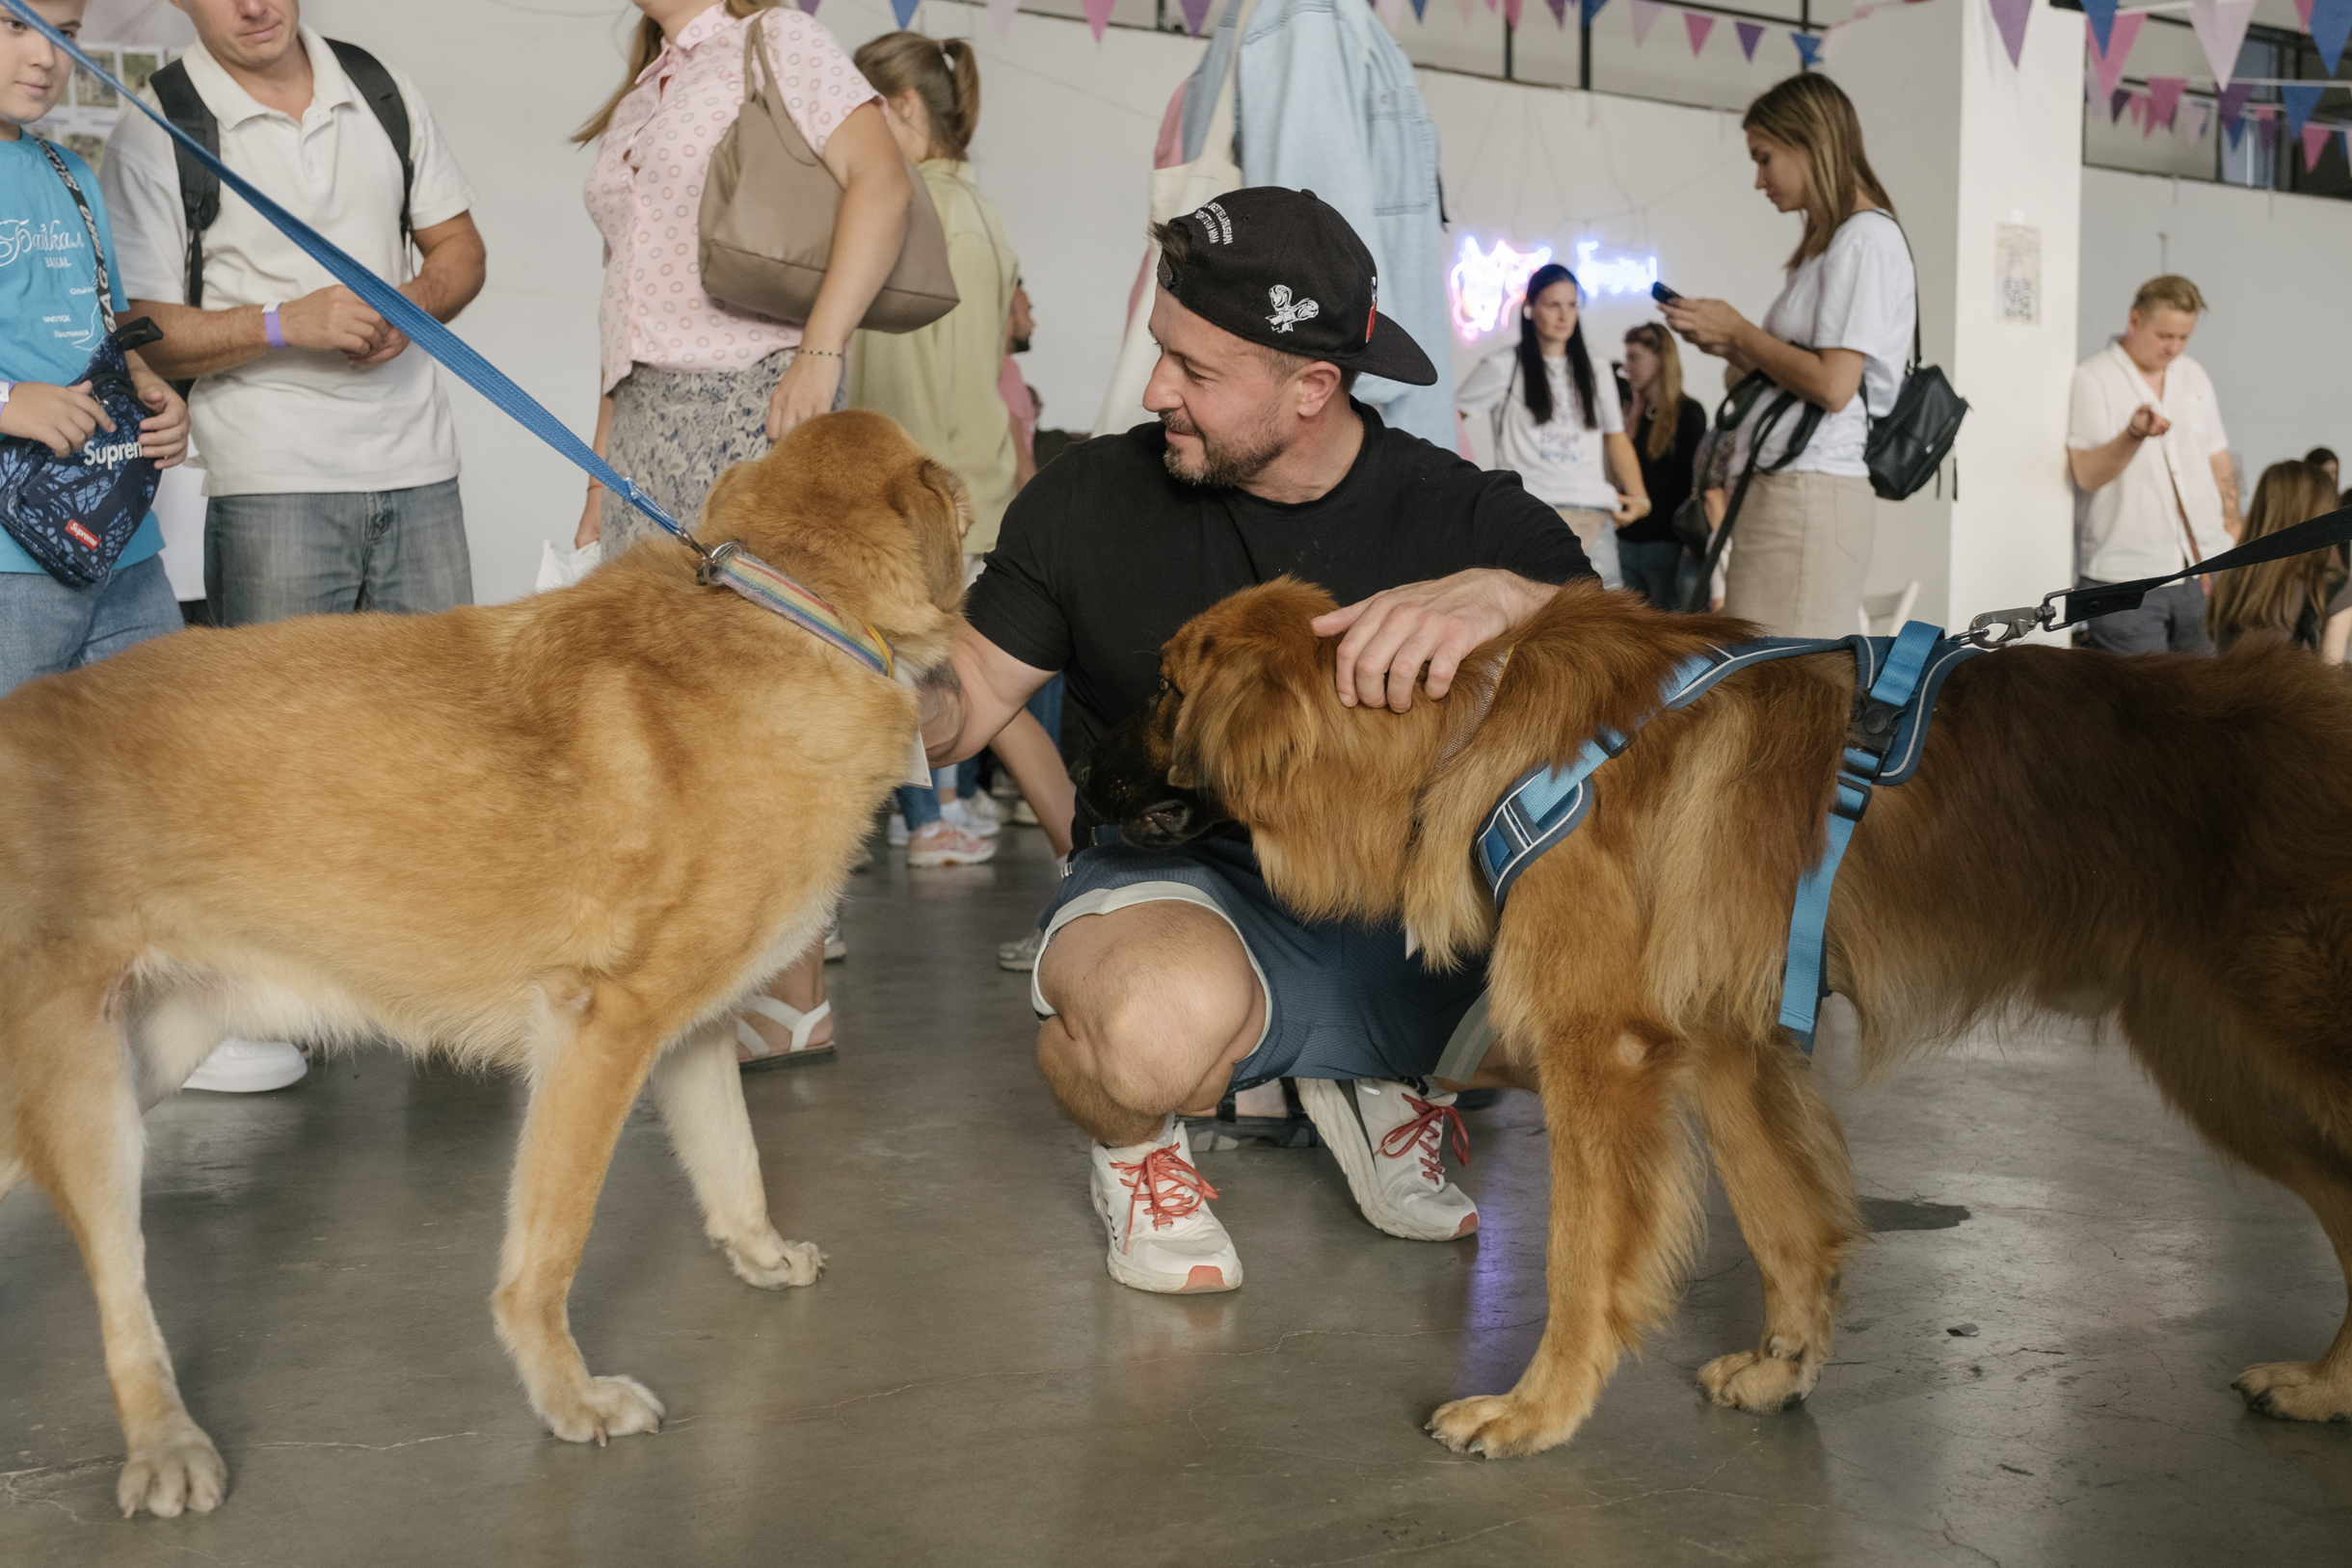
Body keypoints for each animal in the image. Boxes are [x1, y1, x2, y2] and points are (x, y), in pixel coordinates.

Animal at [0, 411, 964, 1513]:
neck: (792, 604)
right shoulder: (600, 1037)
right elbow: (546, 1255)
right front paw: (568, 1395)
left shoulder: (688, 1035)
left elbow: (736, 1169)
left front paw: (760, 1256)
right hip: (94, 1112)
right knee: (124, 1303)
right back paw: (165, 1439)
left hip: (135, 1062)